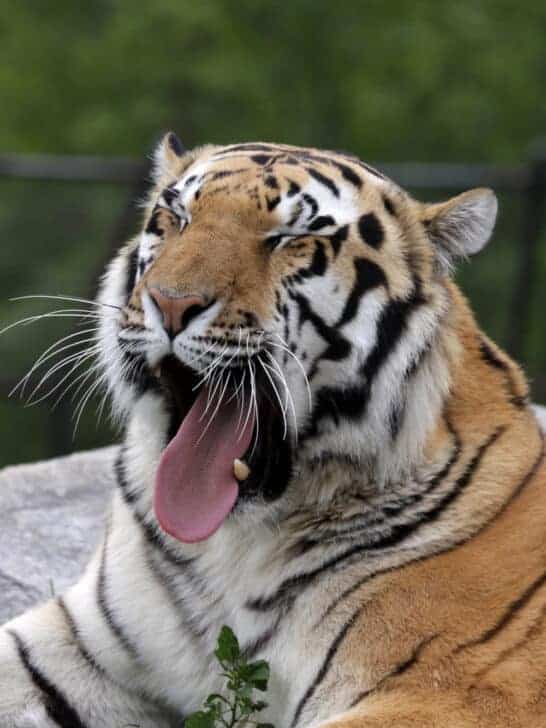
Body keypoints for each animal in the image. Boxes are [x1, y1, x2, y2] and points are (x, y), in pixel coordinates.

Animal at [1, 132, 545, 728]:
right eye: (176, 219)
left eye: (288, 239)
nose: (170, 303)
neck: (233, 549)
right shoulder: (80, 641)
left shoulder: (452, 692)